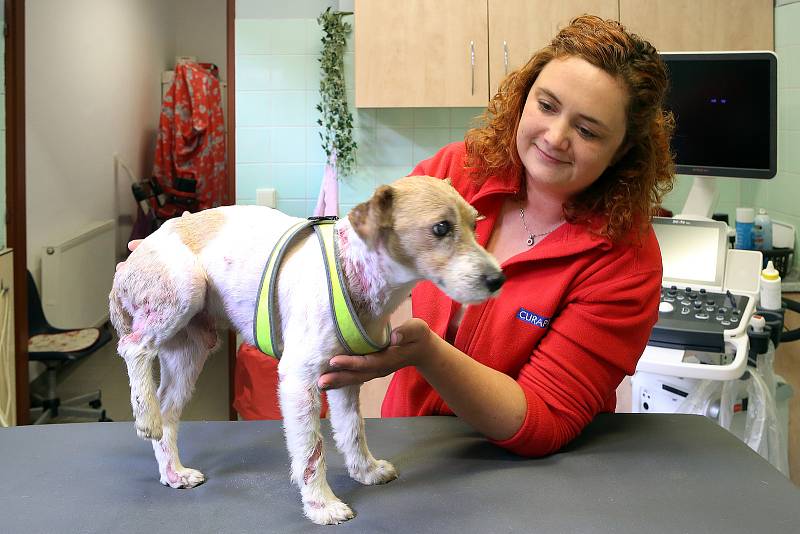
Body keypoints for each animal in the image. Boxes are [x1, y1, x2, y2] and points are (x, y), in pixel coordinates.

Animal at [109, 175, 504, 524]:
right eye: (441, 228)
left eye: (475, 224)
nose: (497, 279)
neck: (352, 268)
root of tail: (130, 262)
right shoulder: (299, 381)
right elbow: (312, 452)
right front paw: (321, 505)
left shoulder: (346, 378)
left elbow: (352, 430)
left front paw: (365, 470)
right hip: (183, 290)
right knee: (133, 348)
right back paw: (145, 416)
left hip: (190, 348)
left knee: (168, 412)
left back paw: (173, 470)